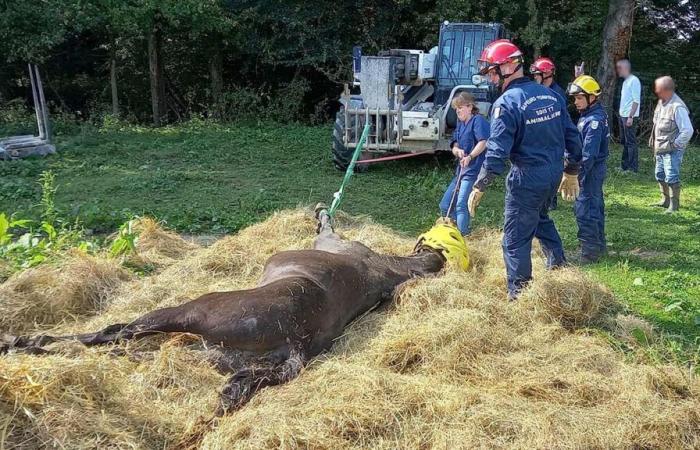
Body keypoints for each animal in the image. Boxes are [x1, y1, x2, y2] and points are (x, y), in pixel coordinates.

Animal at [1, 206, 470, 414]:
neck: (382, 267)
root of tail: (295, 343)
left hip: (184, 314)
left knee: (111, 333)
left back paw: (26, 340)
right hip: (205, 352)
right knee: (126, 346)